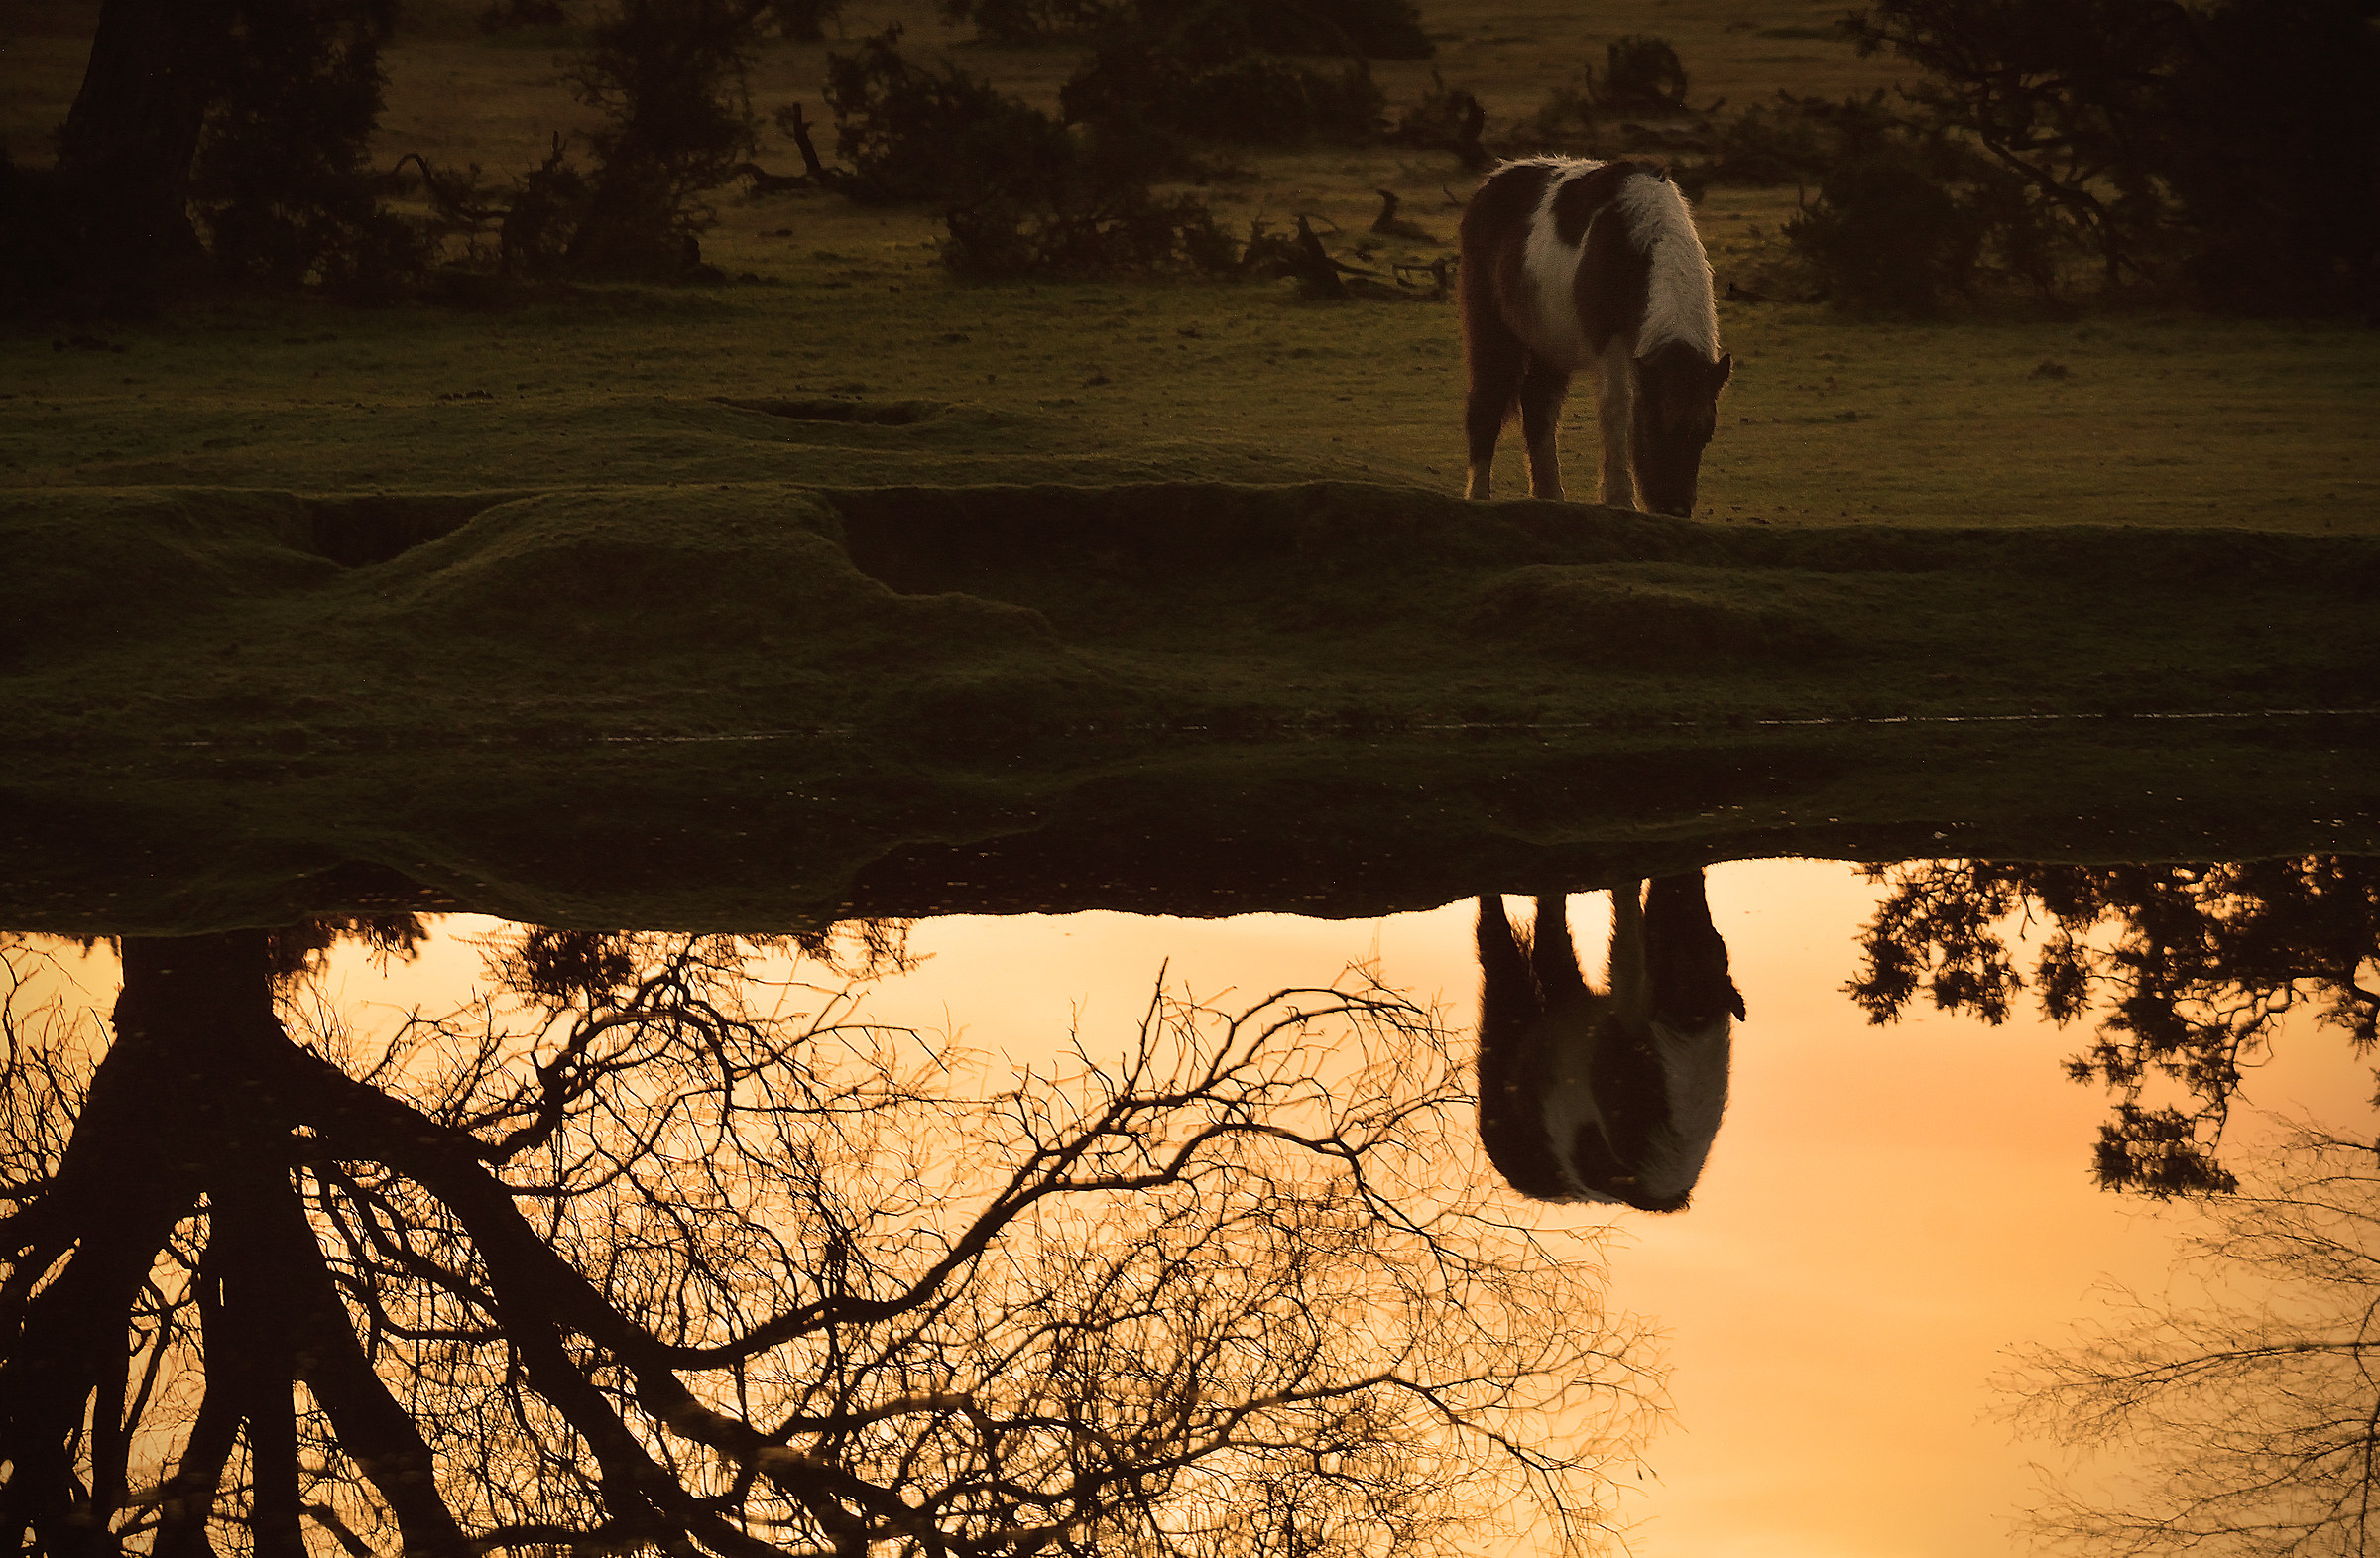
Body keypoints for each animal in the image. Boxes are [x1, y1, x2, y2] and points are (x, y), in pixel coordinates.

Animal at [1457, 157, 1733, 514]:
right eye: (1652, 427)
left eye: (1704, 434)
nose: (1675, 508)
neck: (1633, 246)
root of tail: (1491, 183)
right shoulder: (1611, 345)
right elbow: (1617, 409)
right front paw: (1619, 497)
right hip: (1492, 330)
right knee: (1488, 397)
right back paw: (1478, 493)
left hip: (1551, 344)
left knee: (1537, 404)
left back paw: (1550, 495)